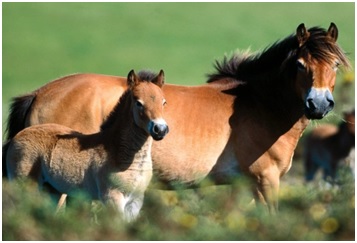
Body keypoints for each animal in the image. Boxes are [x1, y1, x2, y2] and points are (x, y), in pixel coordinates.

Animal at [4, 69, 168, 222]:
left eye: (164, 102)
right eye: (138, 103)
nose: (160, 129)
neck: (117, 150)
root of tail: (16, 138)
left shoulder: (135, 201)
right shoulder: (112, 197)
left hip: (51, 191)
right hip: (25, 187)